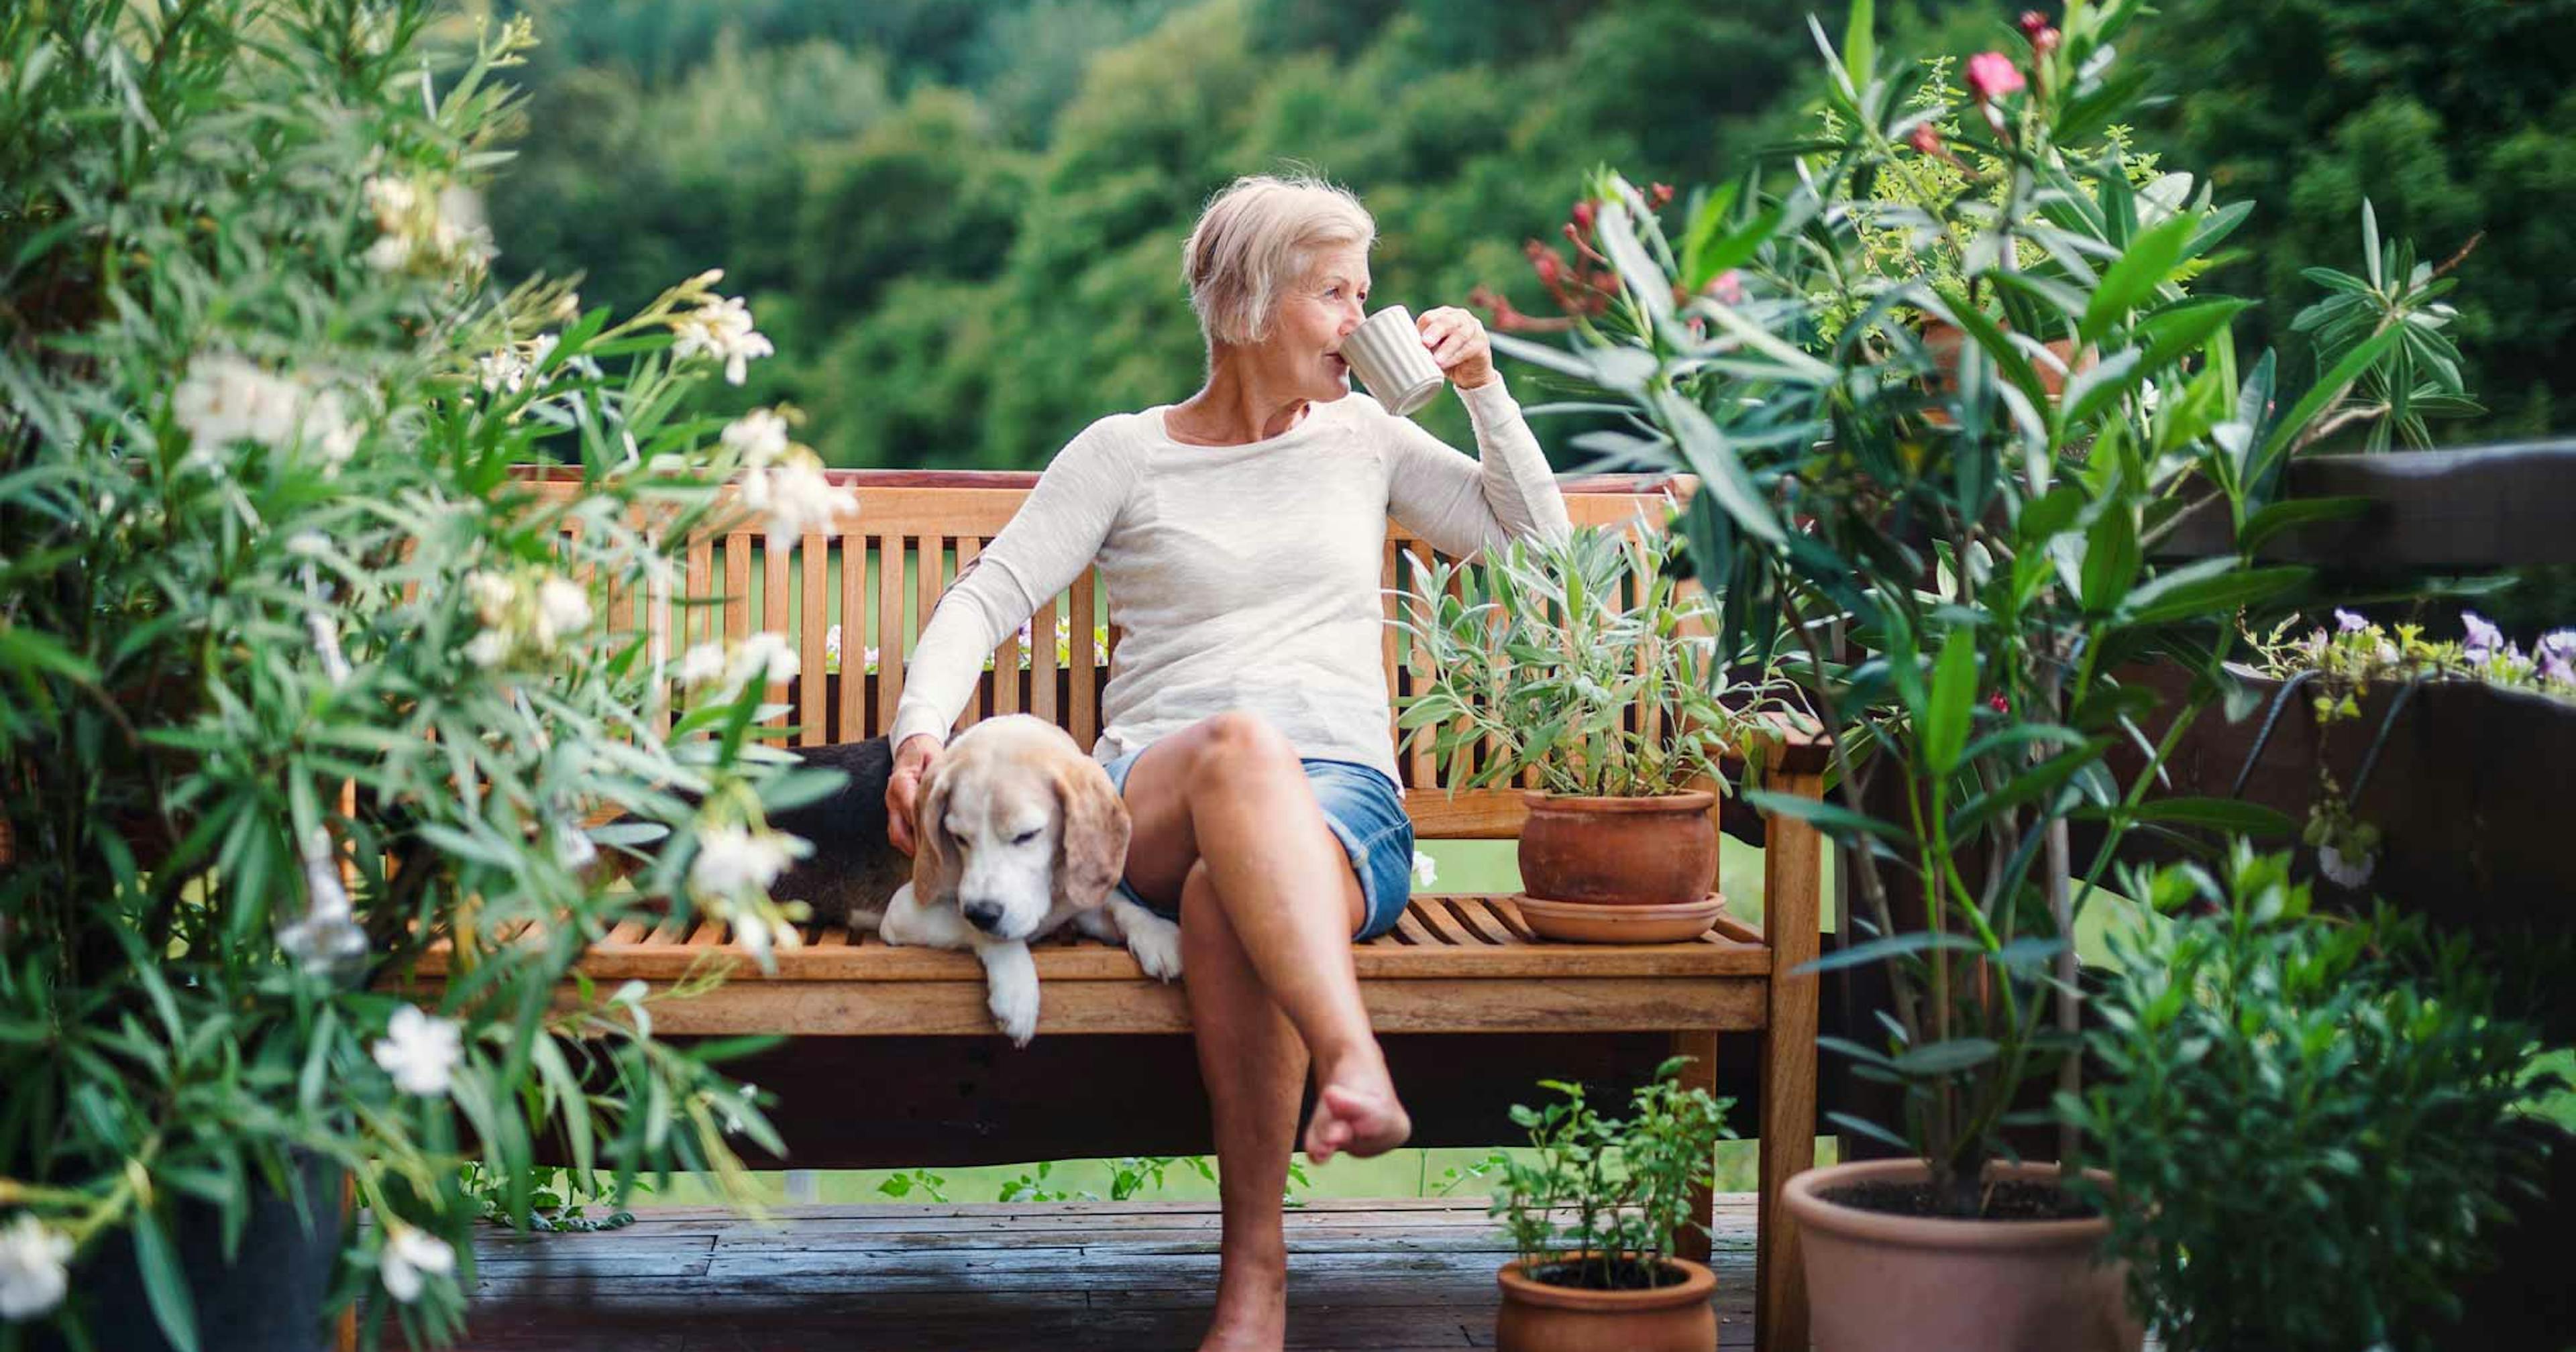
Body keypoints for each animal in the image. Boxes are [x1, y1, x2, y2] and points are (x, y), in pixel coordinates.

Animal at [850, 716, 1179, 1046]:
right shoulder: (902, 911)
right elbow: (978, 929)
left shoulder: (1071, 904)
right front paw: (1017, 993)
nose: (982, 913)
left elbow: (1118, 904)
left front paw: (1156, 932)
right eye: (959, 838)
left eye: (1027, 835)